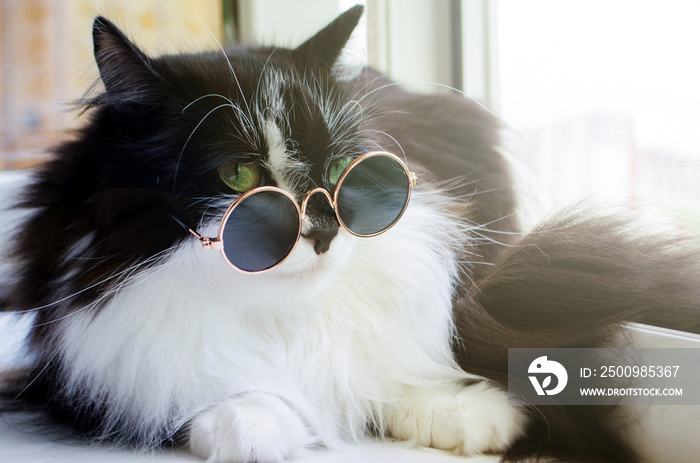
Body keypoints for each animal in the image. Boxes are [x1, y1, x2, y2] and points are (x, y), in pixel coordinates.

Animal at [1, 6, 700, 463]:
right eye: (240, 176)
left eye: (343, 171)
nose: (323, 230)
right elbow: (198, 384)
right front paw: (252, 423)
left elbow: (379, 364)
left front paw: (465, 411)